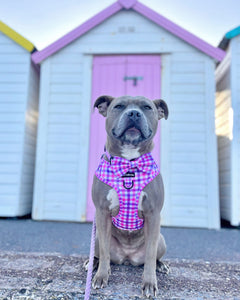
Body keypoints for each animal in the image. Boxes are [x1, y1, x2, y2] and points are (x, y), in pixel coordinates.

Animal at [88, 95, 169, 296]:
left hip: (161, 240)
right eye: (119, 106)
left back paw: (161, 265)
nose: (133, 113)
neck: (129, 164)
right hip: (98, 237)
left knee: (153, 255)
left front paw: (149, 283)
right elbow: (105, 254)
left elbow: (150, 255)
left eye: (147, 107)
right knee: (101, 254)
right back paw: (93, 263)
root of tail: (127, 257)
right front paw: (101, 276)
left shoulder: (153, 215)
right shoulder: (102, 212)